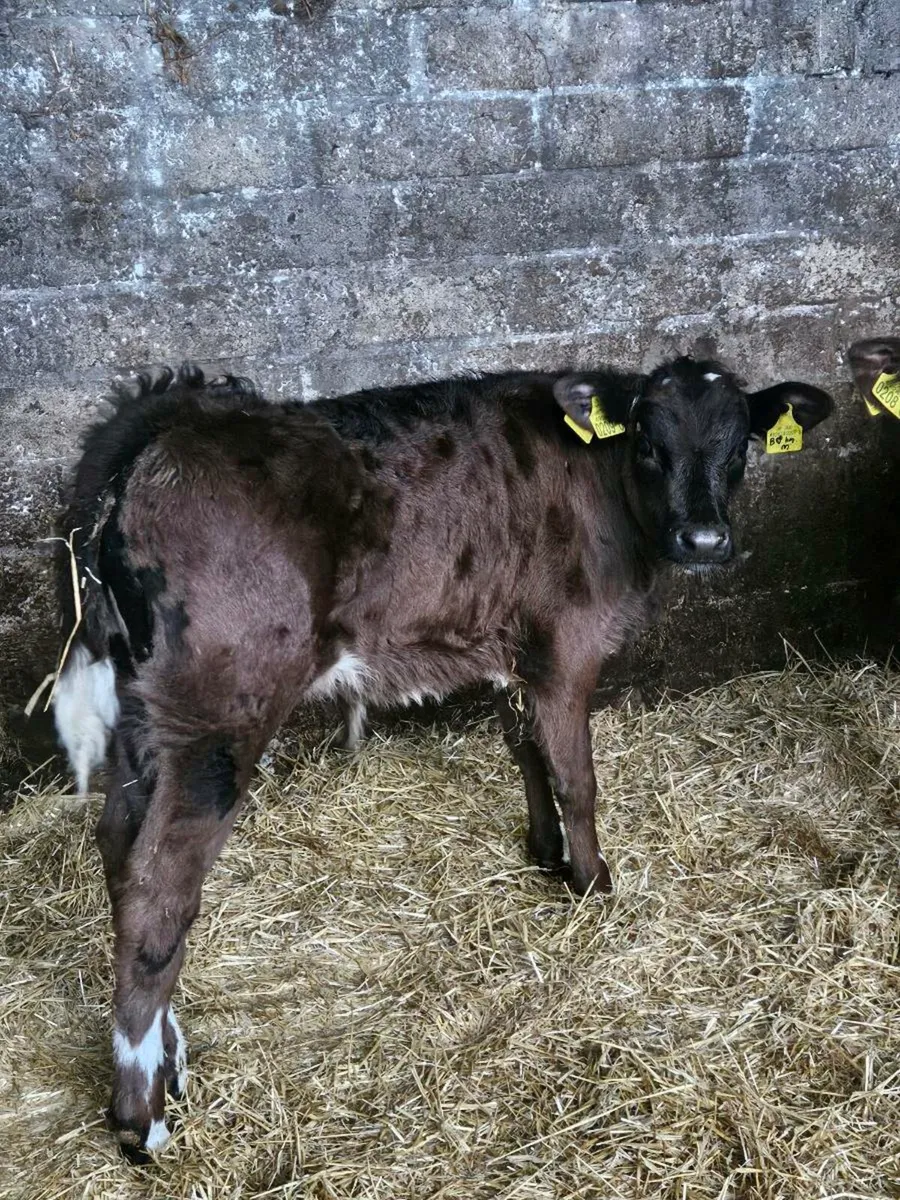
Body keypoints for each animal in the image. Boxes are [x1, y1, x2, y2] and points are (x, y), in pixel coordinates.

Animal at [51, 356, 832, 1158]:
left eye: (740, 446)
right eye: (647, 441)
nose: (704, 538)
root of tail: (166, 420)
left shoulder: (509, 648)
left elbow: (526, 752)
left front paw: (544, 852)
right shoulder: (567, 648)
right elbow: (576, 779)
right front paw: (593, 887)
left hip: (138, 704)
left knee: (119, 846)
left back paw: (169, 1059)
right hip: (216, 709)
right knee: (158, 887)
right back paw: (141, 1118)